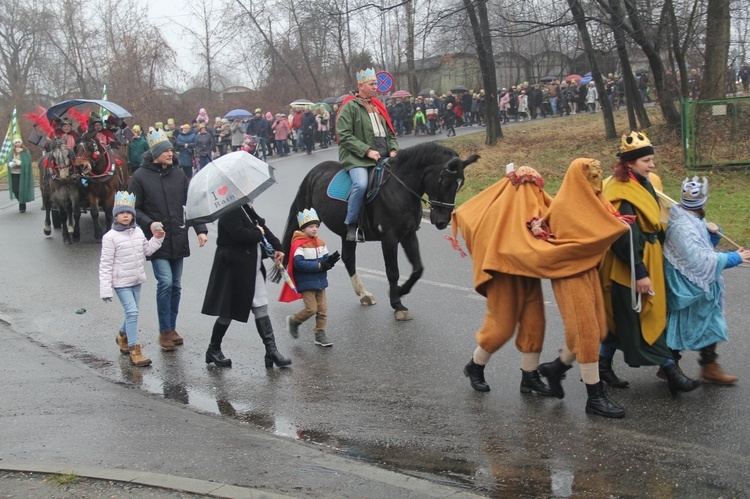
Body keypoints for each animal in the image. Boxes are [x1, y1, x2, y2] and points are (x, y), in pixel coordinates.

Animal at [282, 142, 482, 320]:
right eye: (445, 182)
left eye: (460, 184)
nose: (442, 221)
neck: (400, 188)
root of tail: (314, 172)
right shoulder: (389, 237)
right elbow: (393, 271)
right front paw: (397, 304)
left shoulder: (408, 235)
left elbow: (418, 268)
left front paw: (401, 290)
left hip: (346, 233)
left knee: (349, 259)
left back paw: (363, 294)